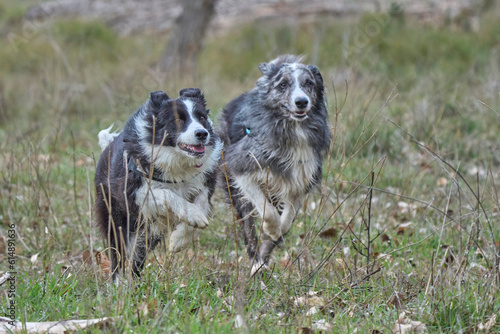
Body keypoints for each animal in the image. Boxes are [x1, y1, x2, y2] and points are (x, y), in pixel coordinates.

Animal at [94, 88, 222, 276]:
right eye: (177, 120)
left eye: (202, 118)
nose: (202, 133)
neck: (178, 162)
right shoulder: (133, 192)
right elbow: (167, 193)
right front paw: (192, 215)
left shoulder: (204, 182)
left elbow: (203, 204)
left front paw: (178, 240)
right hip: (116, 217)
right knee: (120, 256)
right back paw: (120, 282)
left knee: (136, 258)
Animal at [220, 54, 332, 274]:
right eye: (283, 84)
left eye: (309, 83)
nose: (301, 102)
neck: (291, 129)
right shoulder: (239, 167)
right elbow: (267, 212)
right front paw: (271, 229)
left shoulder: (301, 179)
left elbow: (287, 220)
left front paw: (276, 233)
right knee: (249, 228)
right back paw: (257, 263)